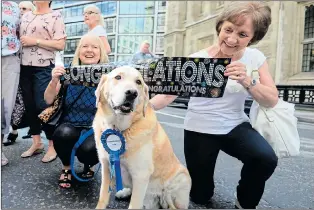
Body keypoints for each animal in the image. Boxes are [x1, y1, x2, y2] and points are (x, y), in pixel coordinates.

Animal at [92, 66, 191, 209]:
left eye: (138, 82)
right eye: (118, 77)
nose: (132, 93)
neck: (119, 129)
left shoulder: (141, 175)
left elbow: (134, 205)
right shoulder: (106, 166)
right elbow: (103, 196)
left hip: (181, 177)